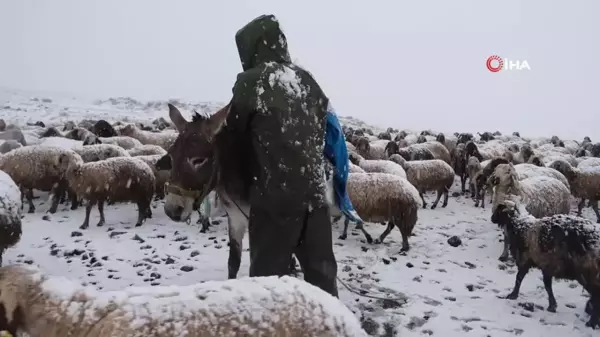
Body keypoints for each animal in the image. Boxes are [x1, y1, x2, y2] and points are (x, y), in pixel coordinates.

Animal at [492, 198, 600, 326]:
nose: (492, 218)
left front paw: (512, 295)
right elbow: (547, 285)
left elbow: (519, 278)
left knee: (597, 296)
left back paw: (591, 322)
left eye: (498, 209)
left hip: (589, 274)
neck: (519, 225)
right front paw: (552, 306)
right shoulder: (546, 265)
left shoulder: (526, 260)